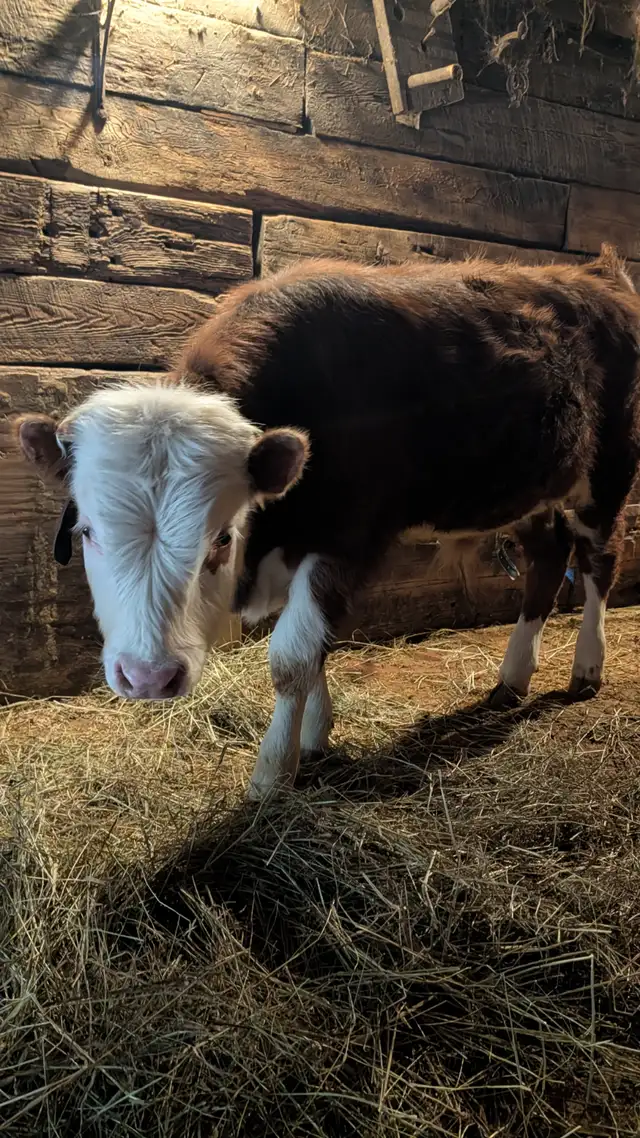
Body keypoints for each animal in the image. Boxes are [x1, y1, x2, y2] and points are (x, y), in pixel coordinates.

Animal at [15, 246, 640, 798]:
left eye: (222, 537)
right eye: (88, 533)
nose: (147, 678)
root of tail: (601, 274)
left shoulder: (347, 541)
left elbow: (293, 655)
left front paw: (273, 772)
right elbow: (314, 648)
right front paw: (315, 736)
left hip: (609, 473)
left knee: (599, 560)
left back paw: (587, 668)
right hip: (526, 490)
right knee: (548, 556)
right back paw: (512, 678)